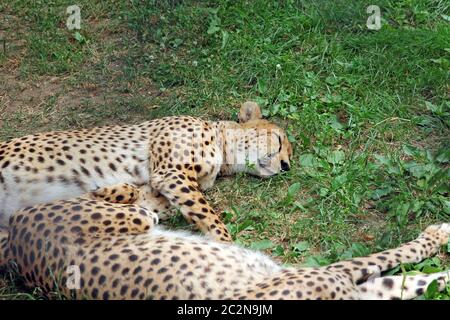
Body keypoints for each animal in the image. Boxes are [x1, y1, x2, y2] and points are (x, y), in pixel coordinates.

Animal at [0, 101, 292, 241]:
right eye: (279, 141)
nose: (286, 166)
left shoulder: (160, 186)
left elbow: (140, 198)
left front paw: (111, 193)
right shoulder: (172, 173)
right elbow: (210, 216)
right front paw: (227, 246)